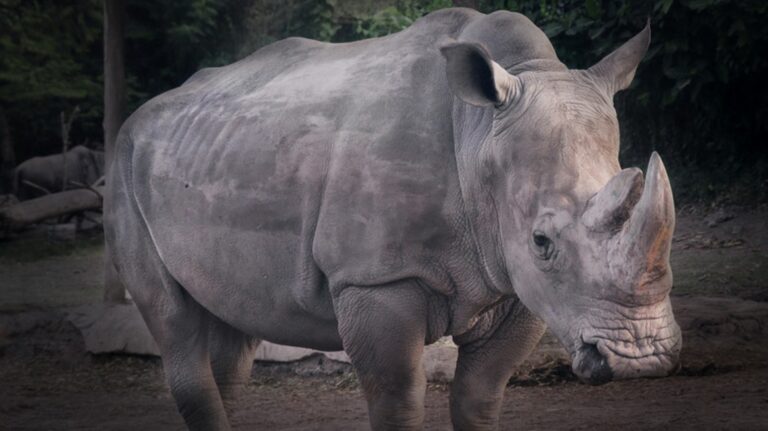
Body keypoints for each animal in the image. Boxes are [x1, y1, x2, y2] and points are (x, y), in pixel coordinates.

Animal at [106, 8, 681, 430]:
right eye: (541, 241)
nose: (643, 359)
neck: (479, 134)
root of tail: (144, 113)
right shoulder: (375, 277)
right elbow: (398, 399)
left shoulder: (515, 284)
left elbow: (480, 397)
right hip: (123, 166)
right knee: (173, 320)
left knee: (233, 323)